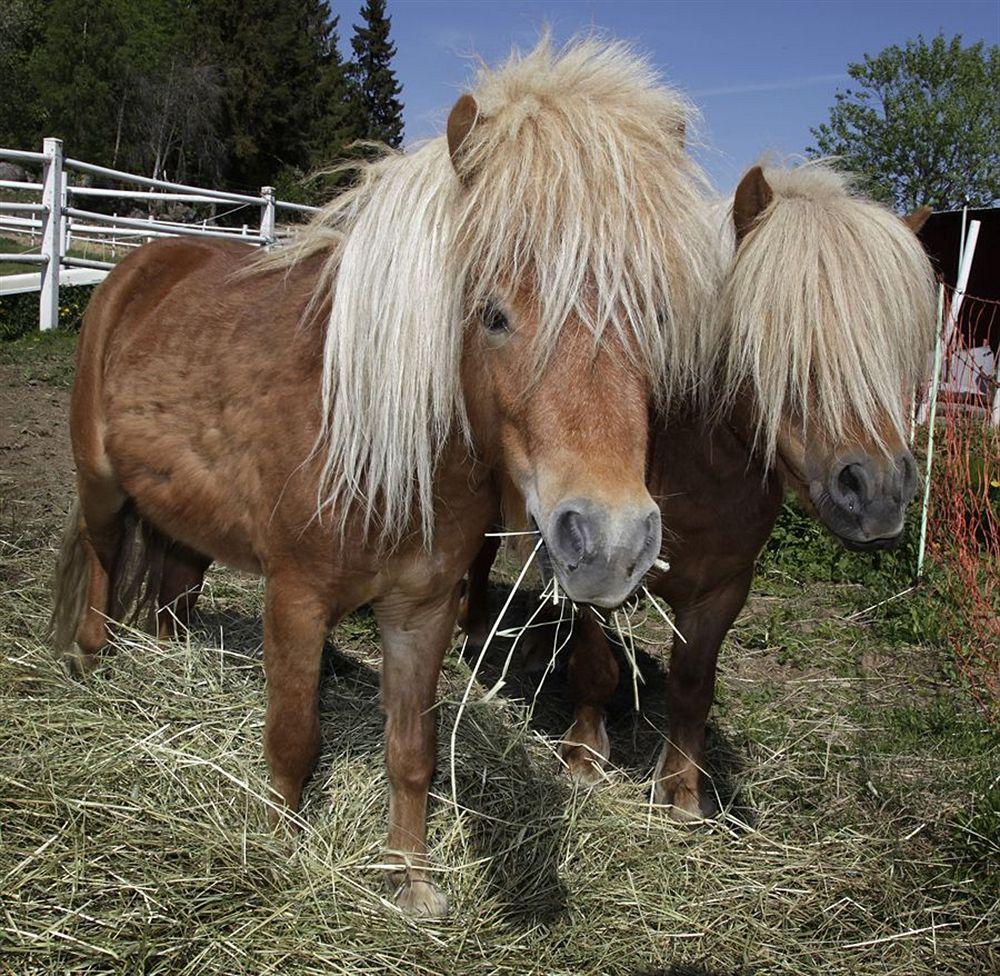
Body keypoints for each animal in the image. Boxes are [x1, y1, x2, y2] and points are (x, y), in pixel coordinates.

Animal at [48, 38, 720, 912]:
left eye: (658, 319)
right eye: (492, 313)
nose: (609, 543)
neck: (381, 451)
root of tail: (142, 264)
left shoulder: (421, 610)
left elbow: (413, 750)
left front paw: (411, 880)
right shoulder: (296, 599)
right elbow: (292, 739)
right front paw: (279, 851)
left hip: (180, 518)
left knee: (169, 592)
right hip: (101, 487)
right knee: (100, 567)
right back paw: (91, 667)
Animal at [460, 164, 936, 820]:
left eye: (895, 345)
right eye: (778, 336)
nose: (880, 492)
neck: (690, 462)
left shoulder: (724, 588)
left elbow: (692, 687)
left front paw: (682, 787)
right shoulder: (591, 561)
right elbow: (595, 667)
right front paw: (584, 755)